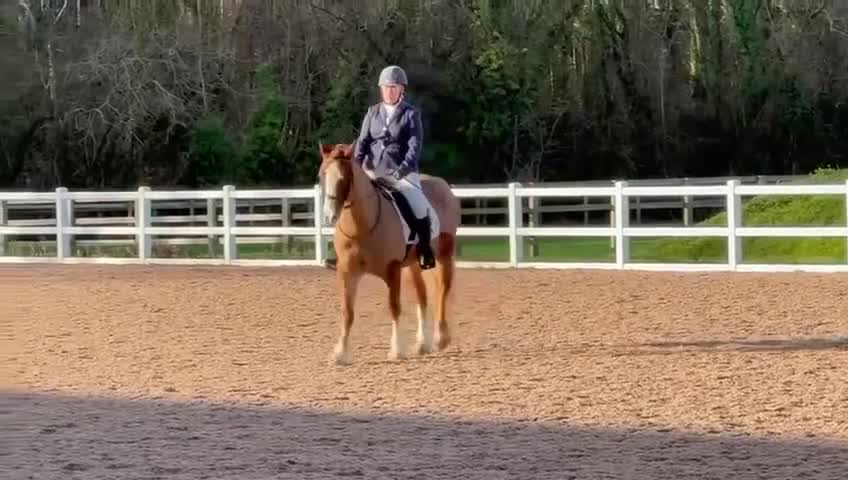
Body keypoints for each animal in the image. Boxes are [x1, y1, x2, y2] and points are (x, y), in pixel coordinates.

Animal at [317, 143, 461, 365]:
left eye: (343, 178)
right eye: (321, 175)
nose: (328, 216)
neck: (362, 226)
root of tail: (442, 184)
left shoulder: (392, 270)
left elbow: (394, 307)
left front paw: (397, 350)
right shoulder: (347, 272)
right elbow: (347, 311)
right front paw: (340, 353)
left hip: (443, 256)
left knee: (442, 292)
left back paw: (440, 339)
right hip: (414, 265)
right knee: (422, 297)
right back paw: (422, 344)